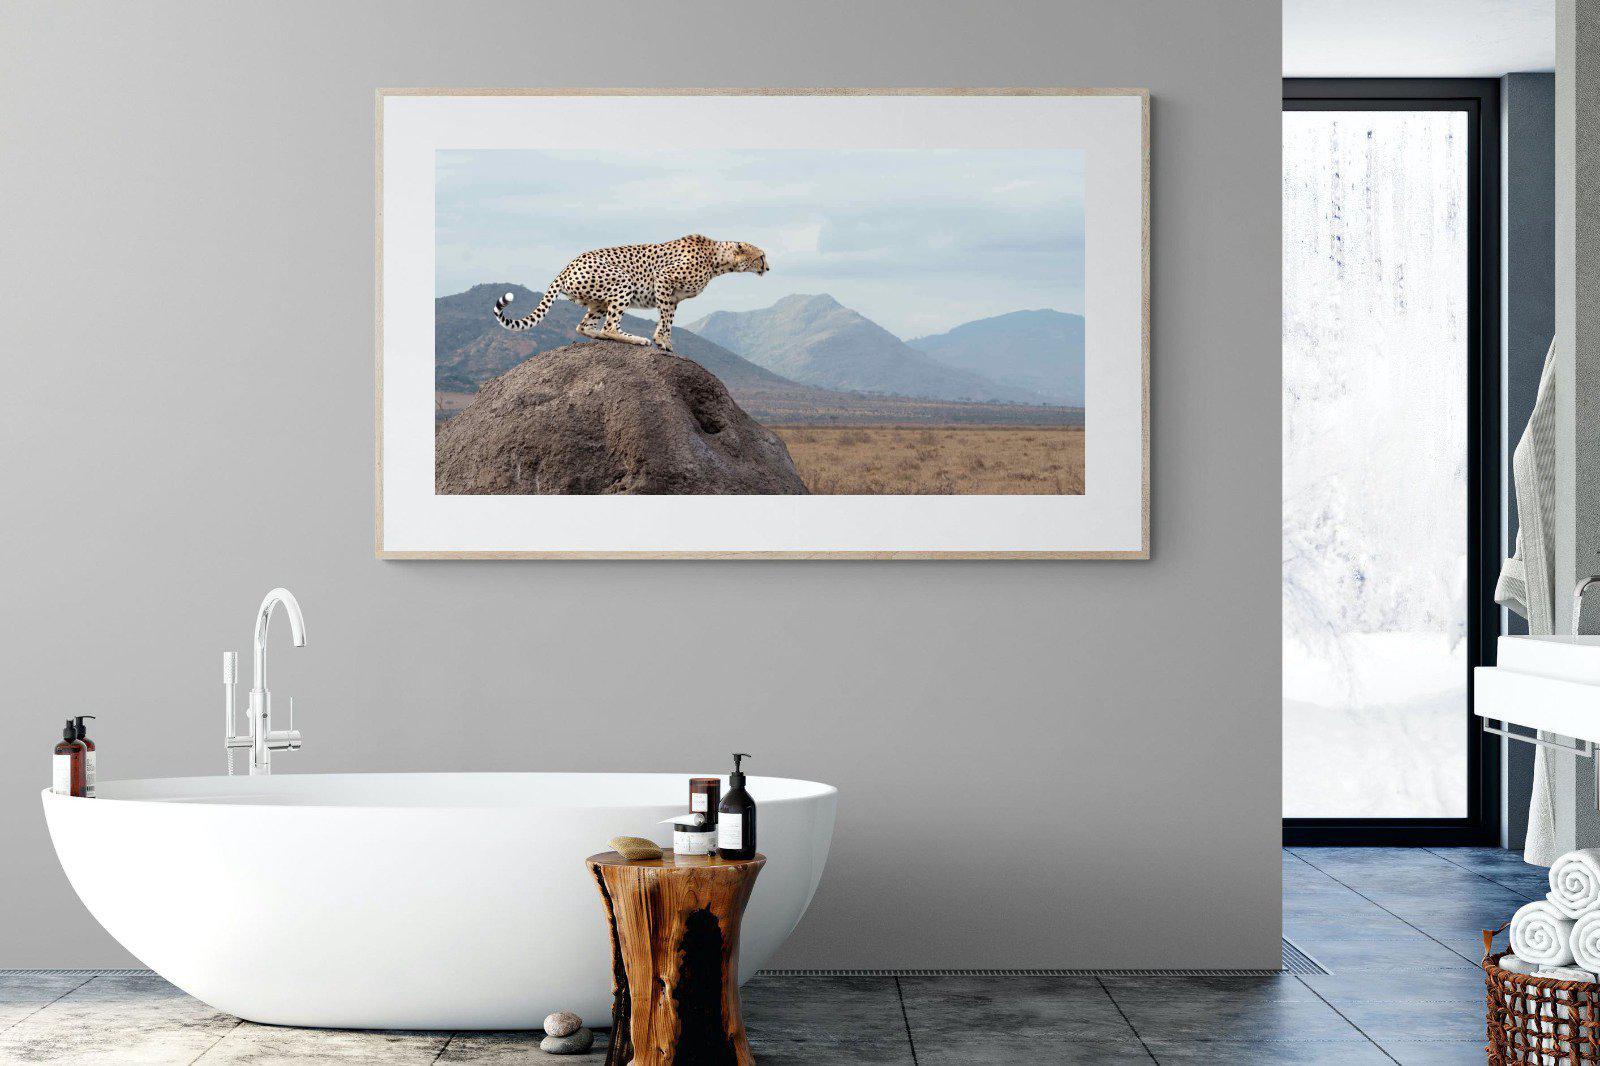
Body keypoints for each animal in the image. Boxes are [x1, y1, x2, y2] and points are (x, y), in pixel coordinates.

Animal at [492, 234, 769, 353]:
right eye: (761, 256)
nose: (768, 268)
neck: (717, 260)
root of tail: (568, 265)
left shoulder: (673, 297)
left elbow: (667, 319)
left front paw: (664, 340)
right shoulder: (663, 280)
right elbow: (665, 319)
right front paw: (660, 341)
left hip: (598, 302)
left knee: (585, 326)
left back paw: (601, 337)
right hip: (623, 281)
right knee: (610, 327)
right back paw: (635, 339)